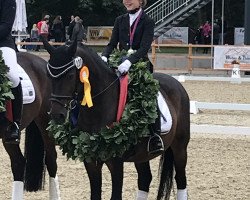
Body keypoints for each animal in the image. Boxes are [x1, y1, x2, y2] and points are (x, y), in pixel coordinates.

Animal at [44, 39, 190, 200]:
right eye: (49, 76)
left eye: (70, 75)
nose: (56, 115)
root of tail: (176, 83)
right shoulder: (91, 160)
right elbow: (95, 194)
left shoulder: (116, 162)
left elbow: (116, 195)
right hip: (142, 155)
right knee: (145, 179)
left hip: (180, 147)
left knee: (181, 179)